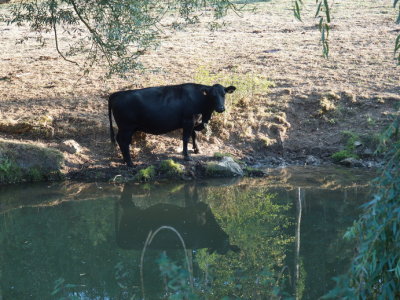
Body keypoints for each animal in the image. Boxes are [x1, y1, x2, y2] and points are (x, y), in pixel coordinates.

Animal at [108, 82, 236, 166]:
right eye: (212, 95)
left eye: (224, 94)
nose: (221, 108)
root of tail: (115, 94)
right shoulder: (188, 121)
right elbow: (186, 138)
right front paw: (186, 156)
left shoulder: (193, 121)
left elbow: (194, 135)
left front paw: (197, 149)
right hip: (127, 128)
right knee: (124, 142)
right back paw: (130, 162)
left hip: (125, 128)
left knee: (119, 139)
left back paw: (125, 160)